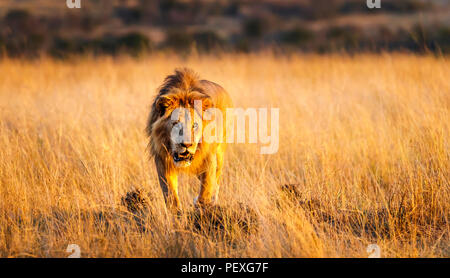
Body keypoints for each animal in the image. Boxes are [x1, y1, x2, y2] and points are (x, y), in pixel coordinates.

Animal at [147, 68, 234, 213]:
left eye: (195, 125)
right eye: (176, 123)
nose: (187, 145)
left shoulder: (209, 157)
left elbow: (206, 188)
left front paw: (202, 207)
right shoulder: (162, 160)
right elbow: (170, 193)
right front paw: (176, 213)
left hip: (220, 153)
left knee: (216, 181)